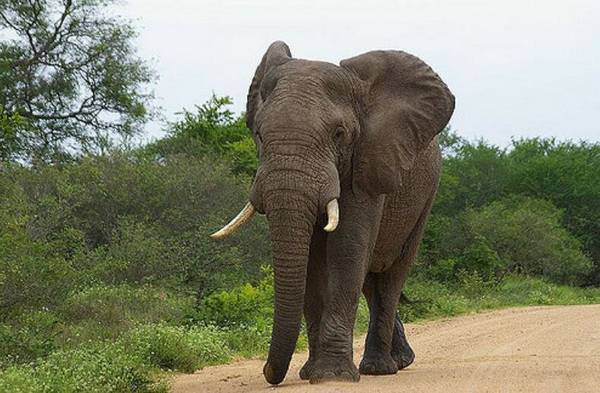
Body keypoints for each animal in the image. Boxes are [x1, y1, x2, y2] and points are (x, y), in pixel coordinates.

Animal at [211, 39, 454, 382]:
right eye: (258, 133)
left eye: (339, 134)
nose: (269, 372)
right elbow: (313, 260)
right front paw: (311, 373)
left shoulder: (366, 163)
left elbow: (347, 248)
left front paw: (332, 376)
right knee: (370, 282)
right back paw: (400, 360)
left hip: (426, 198)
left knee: (391, 277)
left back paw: (380, 368)